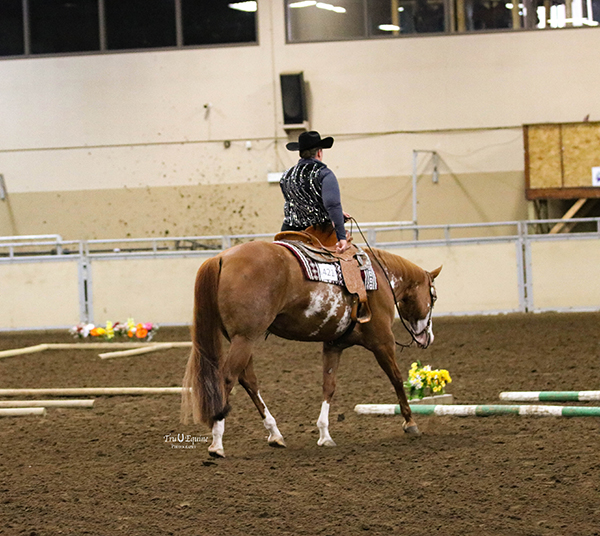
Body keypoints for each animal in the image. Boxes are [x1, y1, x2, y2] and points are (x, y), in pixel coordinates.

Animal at [181, 239, 441, 457]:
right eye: (434, 297)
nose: (427, 337)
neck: (380, 278)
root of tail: (221, 257)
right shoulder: (383, 342)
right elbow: (396, 378)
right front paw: (410, 422)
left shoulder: (334, 345)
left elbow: (329, 386)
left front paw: (325, 435)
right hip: (244, 339)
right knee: (227, 378)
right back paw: (217, 442)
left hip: (242, 339)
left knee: (248, 381)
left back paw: (275, 434)